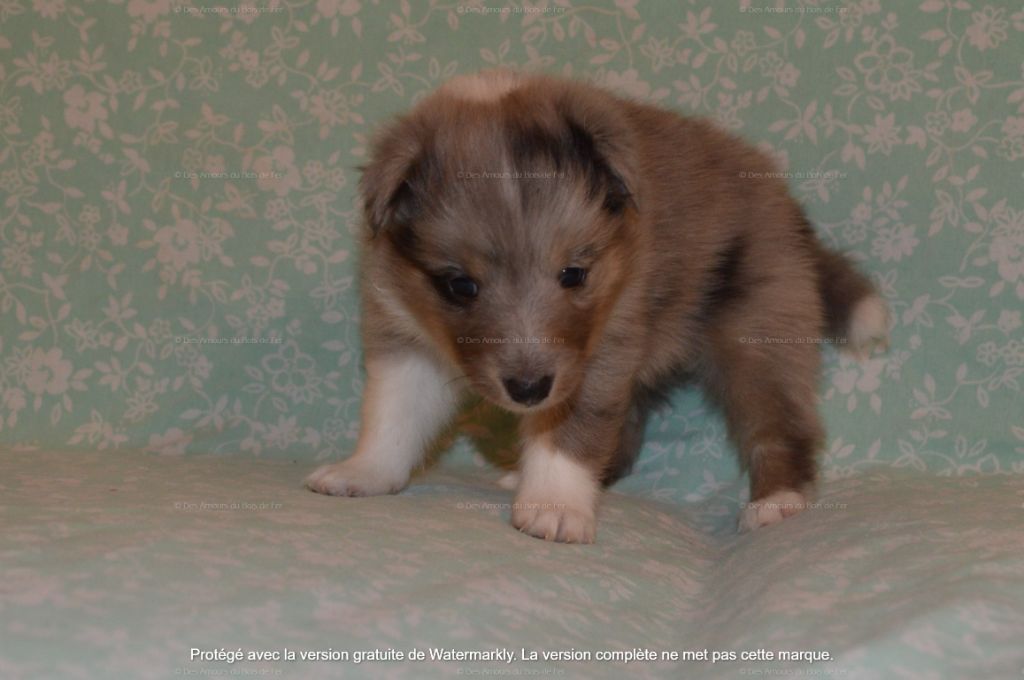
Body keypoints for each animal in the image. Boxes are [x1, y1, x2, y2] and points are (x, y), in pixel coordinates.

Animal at [305, 69, 889, 543]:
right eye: (460, 287)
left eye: (573, 274)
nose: (528, 391)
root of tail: (791, 212)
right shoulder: (404, 333)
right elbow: (392, 414)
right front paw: (363, 473)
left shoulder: (598, 347)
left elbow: (572, 428)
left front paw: (555, 506)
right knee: (627, 434)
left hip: (761, 334)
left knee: (780, 424)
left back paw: (776, 503)